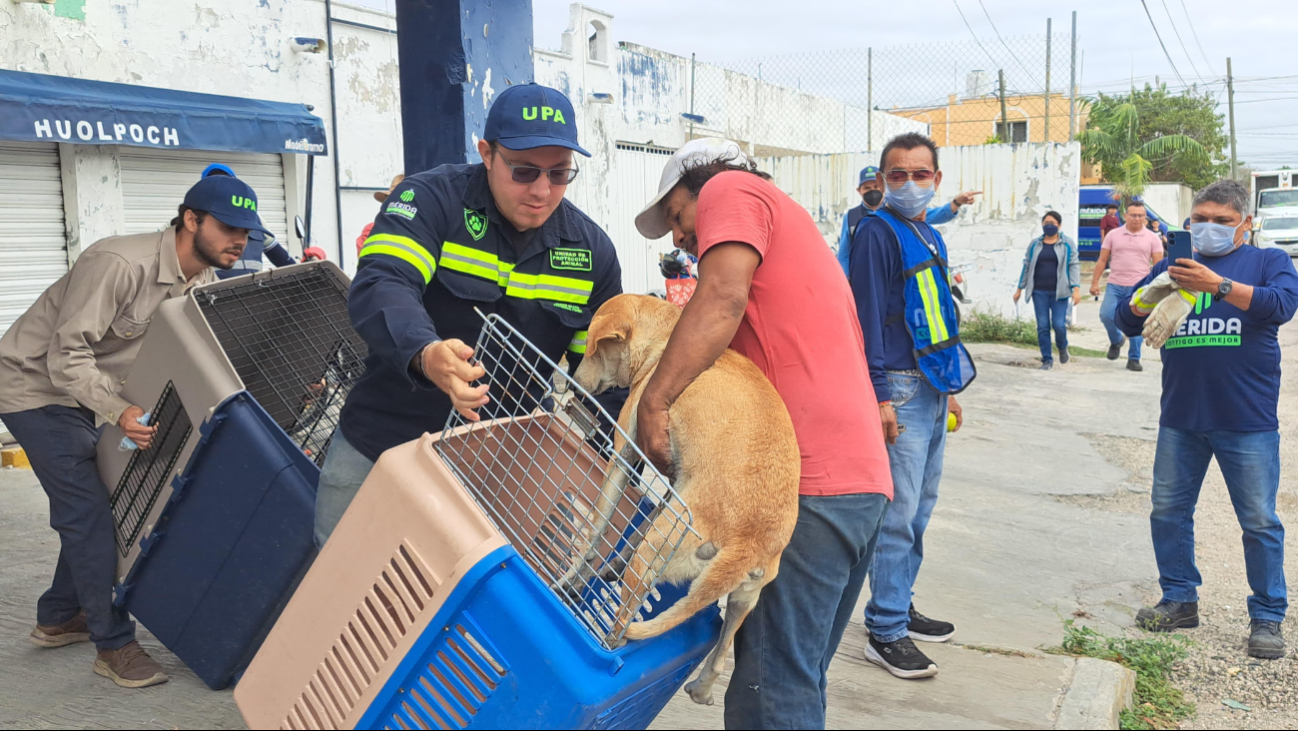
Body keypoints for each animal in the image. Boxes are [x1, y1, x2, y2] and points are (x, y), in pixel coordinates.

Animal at [571, 294, 794, 706]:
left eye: (593, 348)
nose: (575, 383)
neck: (666, 338)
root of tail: (750, 542)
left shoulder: (624, 454)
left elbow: (597, 528)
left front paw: (575, 574)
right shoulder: (675, 484)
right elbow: (636, 525)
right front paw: (606, 566)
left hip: (655, 558)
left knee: (619, 632)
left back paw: (604, 637)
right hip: (743, 598)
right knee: (720, 655)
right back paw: (704, 686)